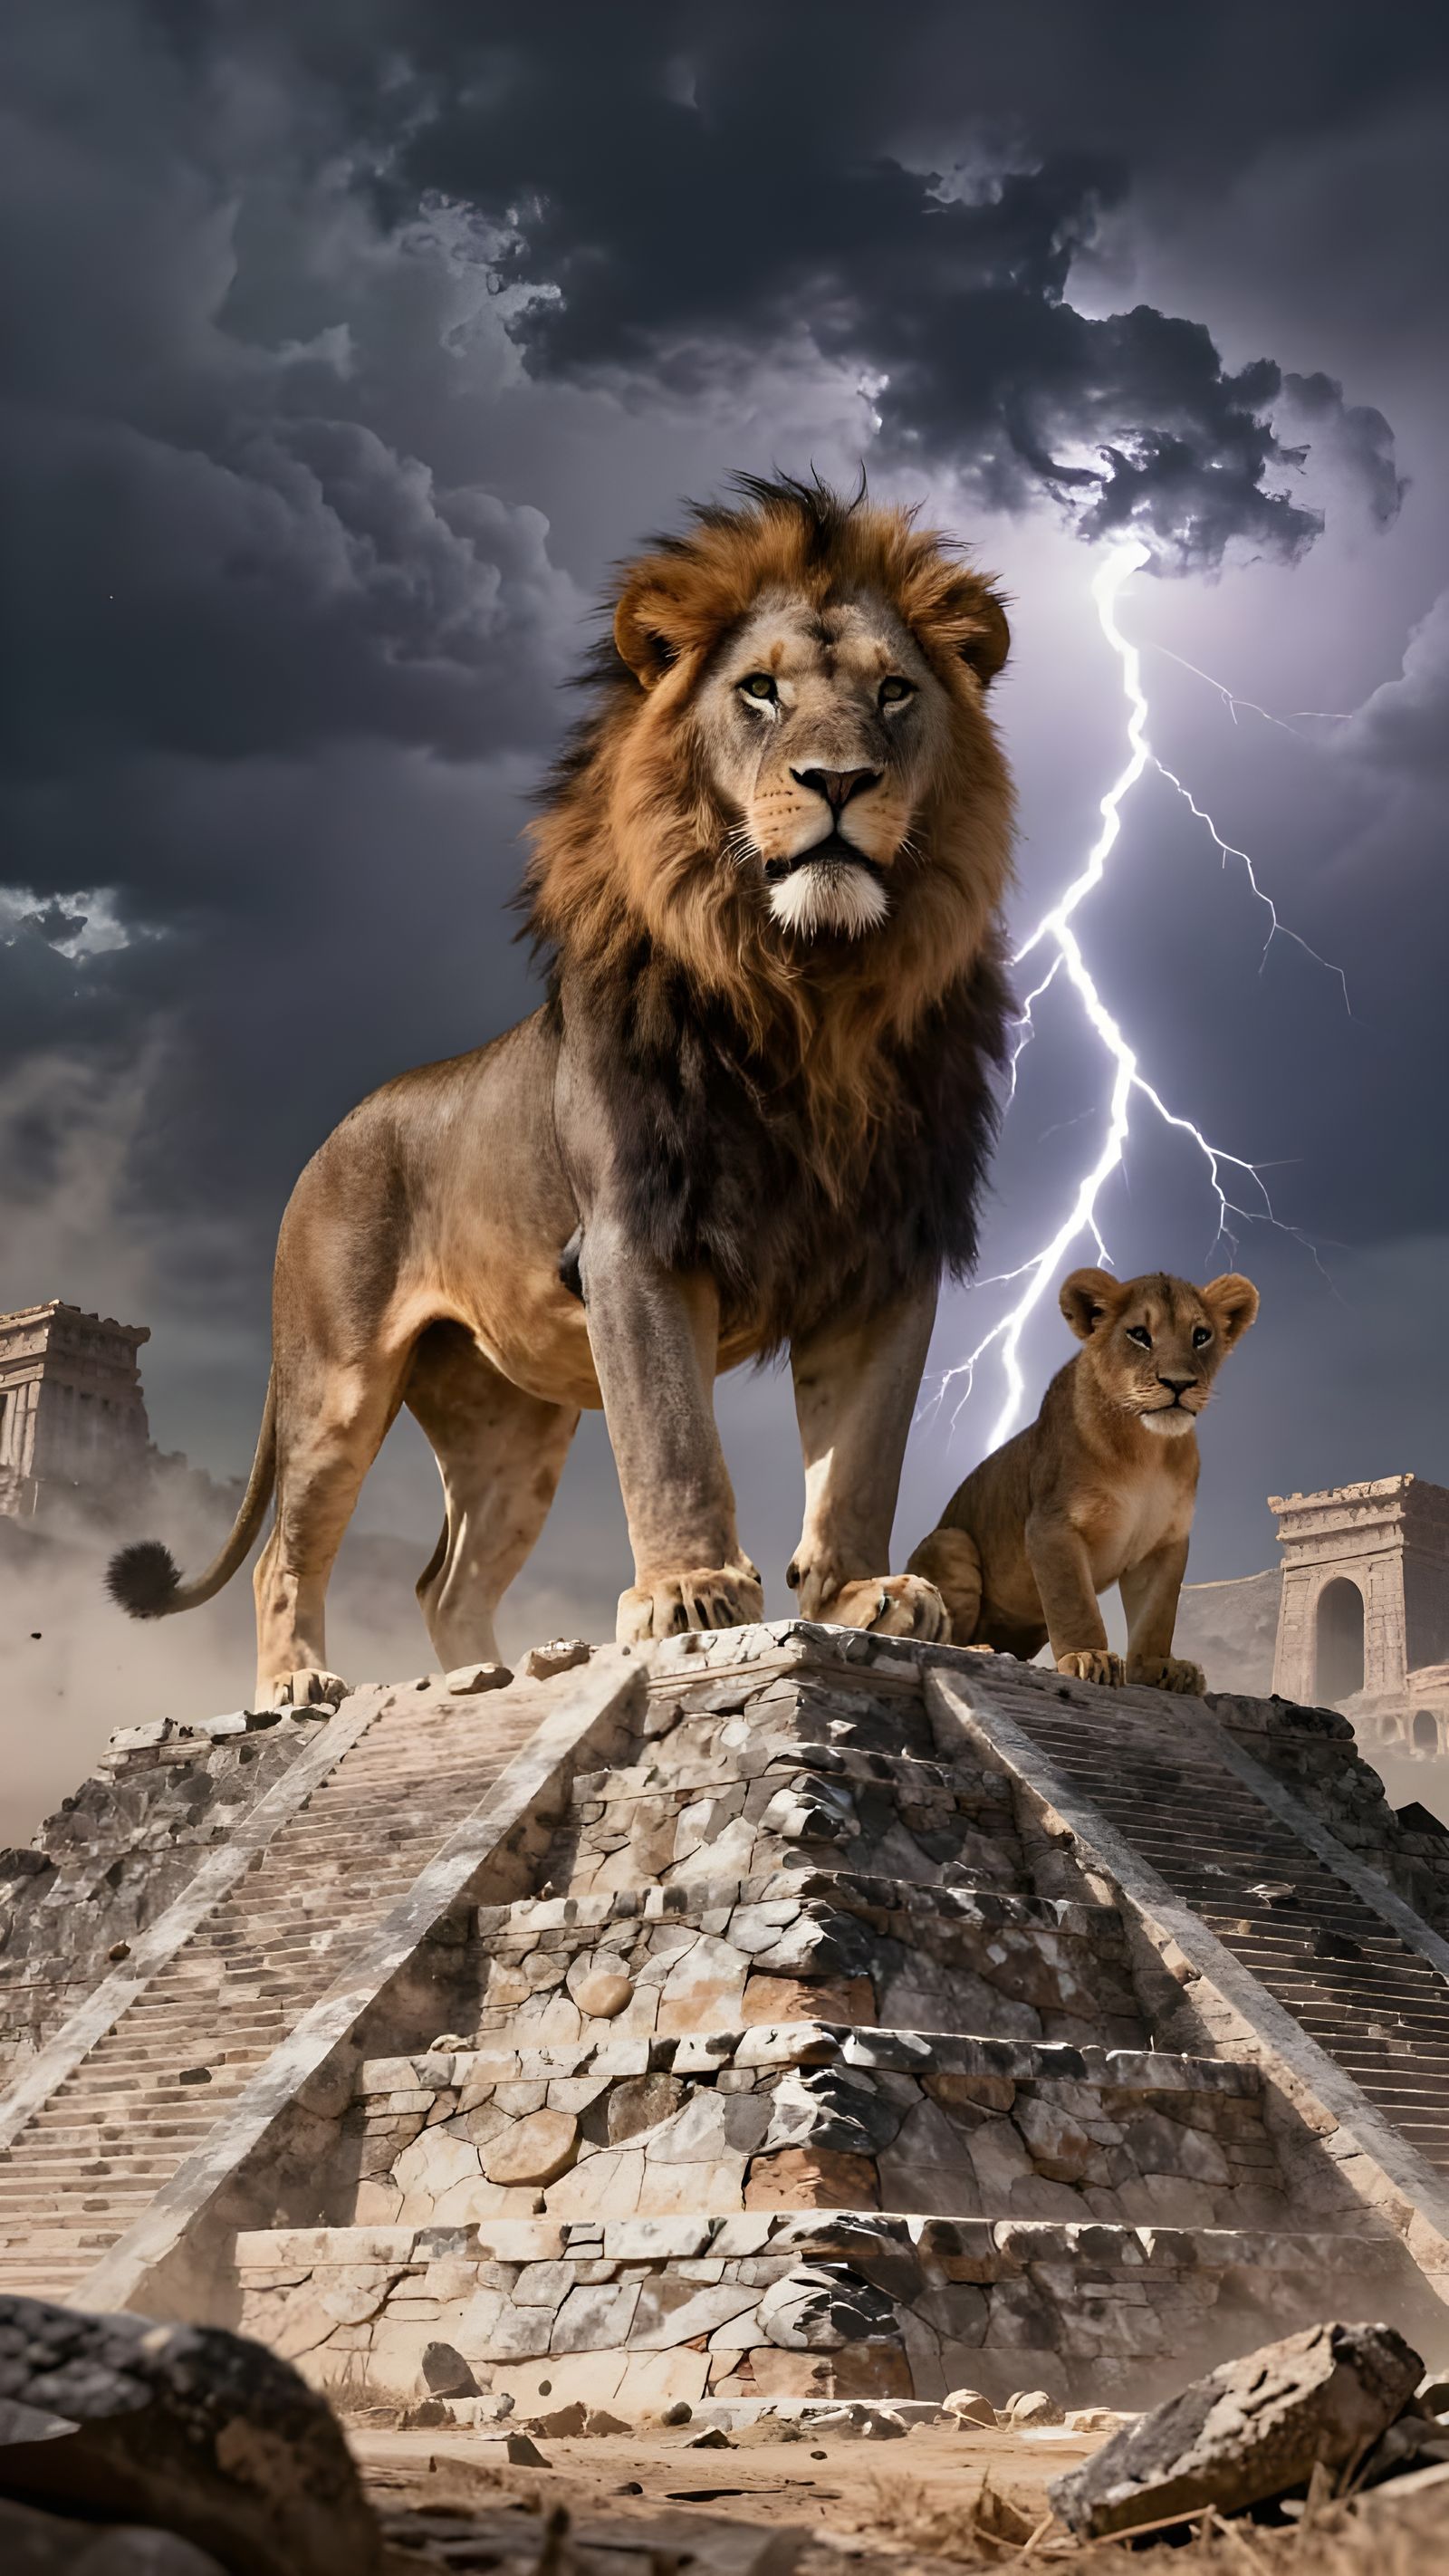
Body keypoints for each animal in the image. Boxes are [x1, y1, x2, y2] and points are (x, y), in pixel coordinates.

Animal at [107, 474, 1015, 1709]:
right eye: (760, 691)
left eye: (893, 693)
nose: (838, 782)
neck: (813, 994)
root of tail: (337, 1130)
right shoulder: (635, 1239)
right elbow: (674, 1443)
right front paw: (690, 1592)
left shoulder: (885, 1255)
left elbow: (860, 1458)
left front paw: (860, 1595)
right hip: (335, 1386)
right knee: (287, 1554)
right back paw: (298, 1687)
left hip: (512, 1427)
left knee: (446, 1585)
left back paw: (490, 1680)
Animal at [907, 1266, 1259, 1691]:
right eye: (1139, 1334)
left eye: (1201, 1335)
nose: (1179, 1384)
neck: (1147, 1450)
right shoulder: (1051, 1525)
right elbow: (1074, 1602)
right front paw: (1089, 1656)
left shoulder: (1166, 1542)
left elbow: (1156, 1615)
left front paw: (1160, 1668)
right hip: (951, 1541)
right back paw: (979, 1651)